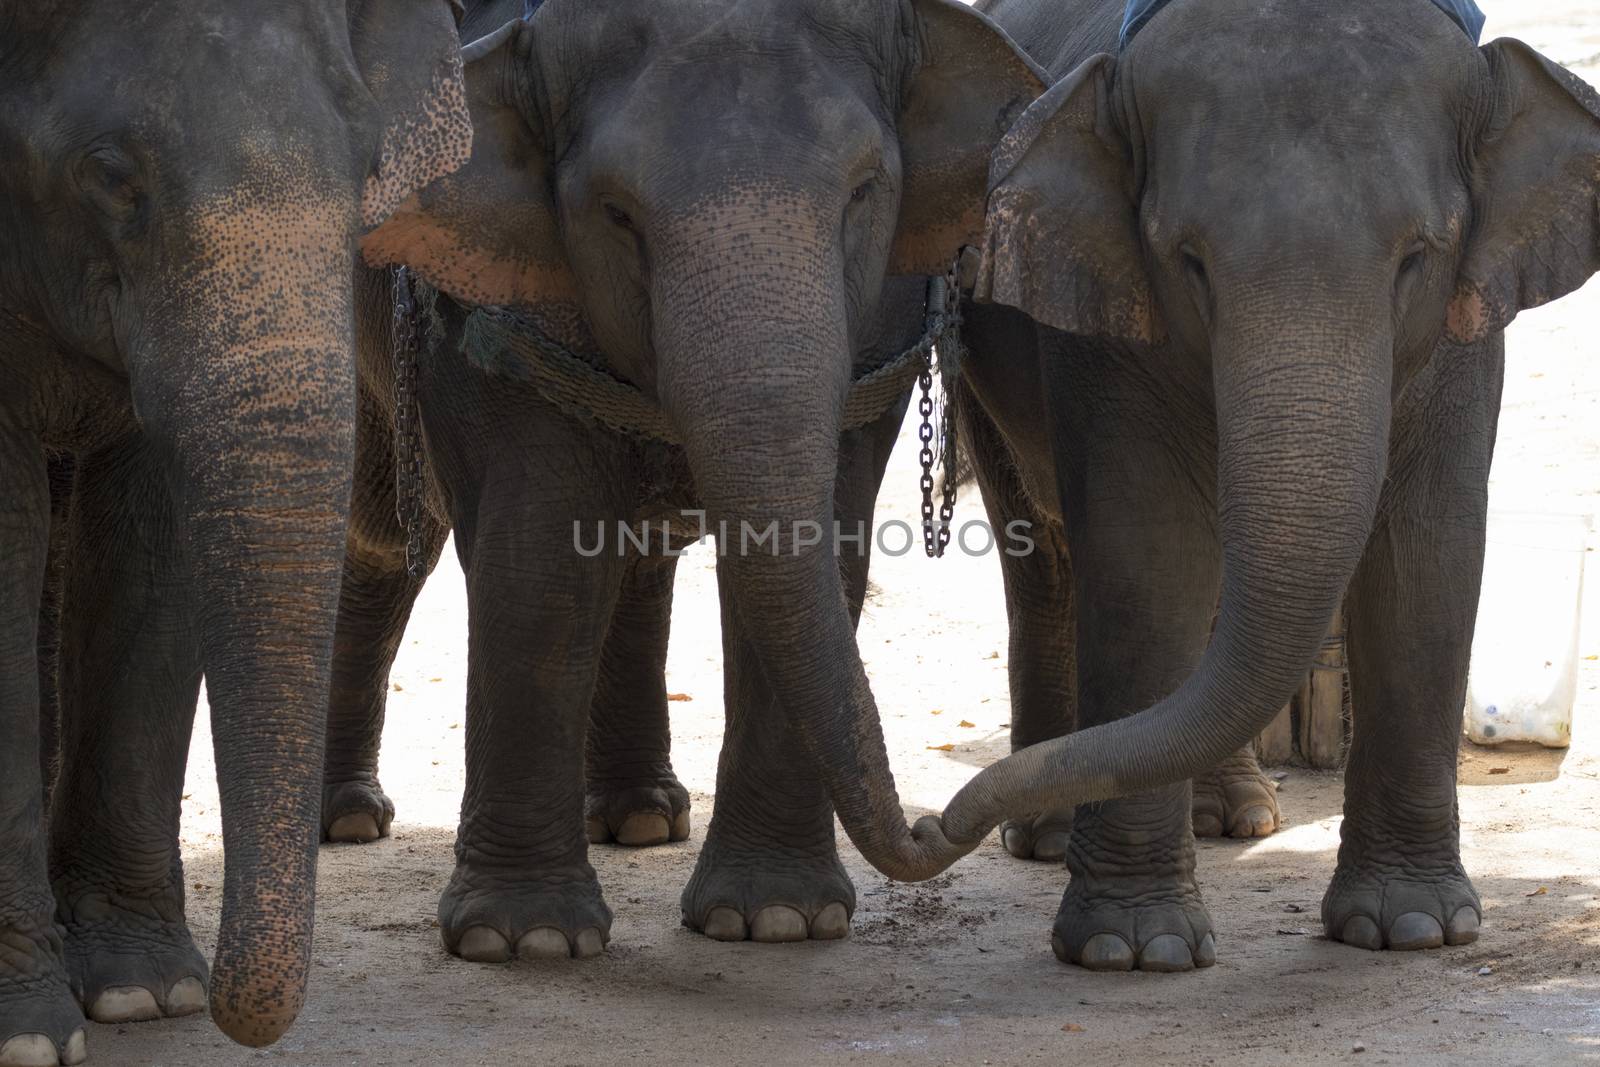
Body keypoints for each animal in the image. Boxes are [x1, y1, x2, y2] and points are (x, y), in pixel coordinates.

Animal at [0, 4, 470, 1062]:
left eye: (368, 165)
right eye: (108, 173)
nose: (230, 1007)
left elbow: (150, 538)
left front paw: (144, 995)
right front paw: (31, 1033)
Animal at [340, 0, 1049, 959]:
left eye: (864, 191)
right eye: (616, 213)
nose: (936, 822)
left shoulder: (881, 330)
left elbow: (821, 540)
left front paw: (777, 919)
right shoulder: (481, 306)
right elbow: (537, 560)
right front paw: (524, 939)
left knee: (633, 556)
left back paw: (641, 817)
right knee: (384, 538)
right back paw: (348, 820)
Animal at [934, 0, 1600, 979]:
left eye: (1417, 255)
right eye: (1188, 260)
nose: (934, 828)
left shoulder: (1468, 326)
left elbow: (1426, 550)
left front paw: (1413, 929)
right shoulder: (1106, 321)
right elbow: (1148, 553)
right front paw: (1133, 948)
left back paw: (1236, 817)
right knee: (1044, 559)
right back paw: (1053, 836)